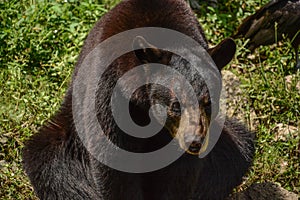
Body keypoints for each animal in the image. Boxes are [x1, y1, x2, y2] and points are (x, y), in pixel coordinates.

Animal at [22, 0, 253, 200]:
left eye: (208, 102)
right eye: (175, 105)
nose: (194, 142)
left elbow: (179, 174)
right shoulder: (111, 95)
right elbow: (115, 163)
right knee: (54, 167)